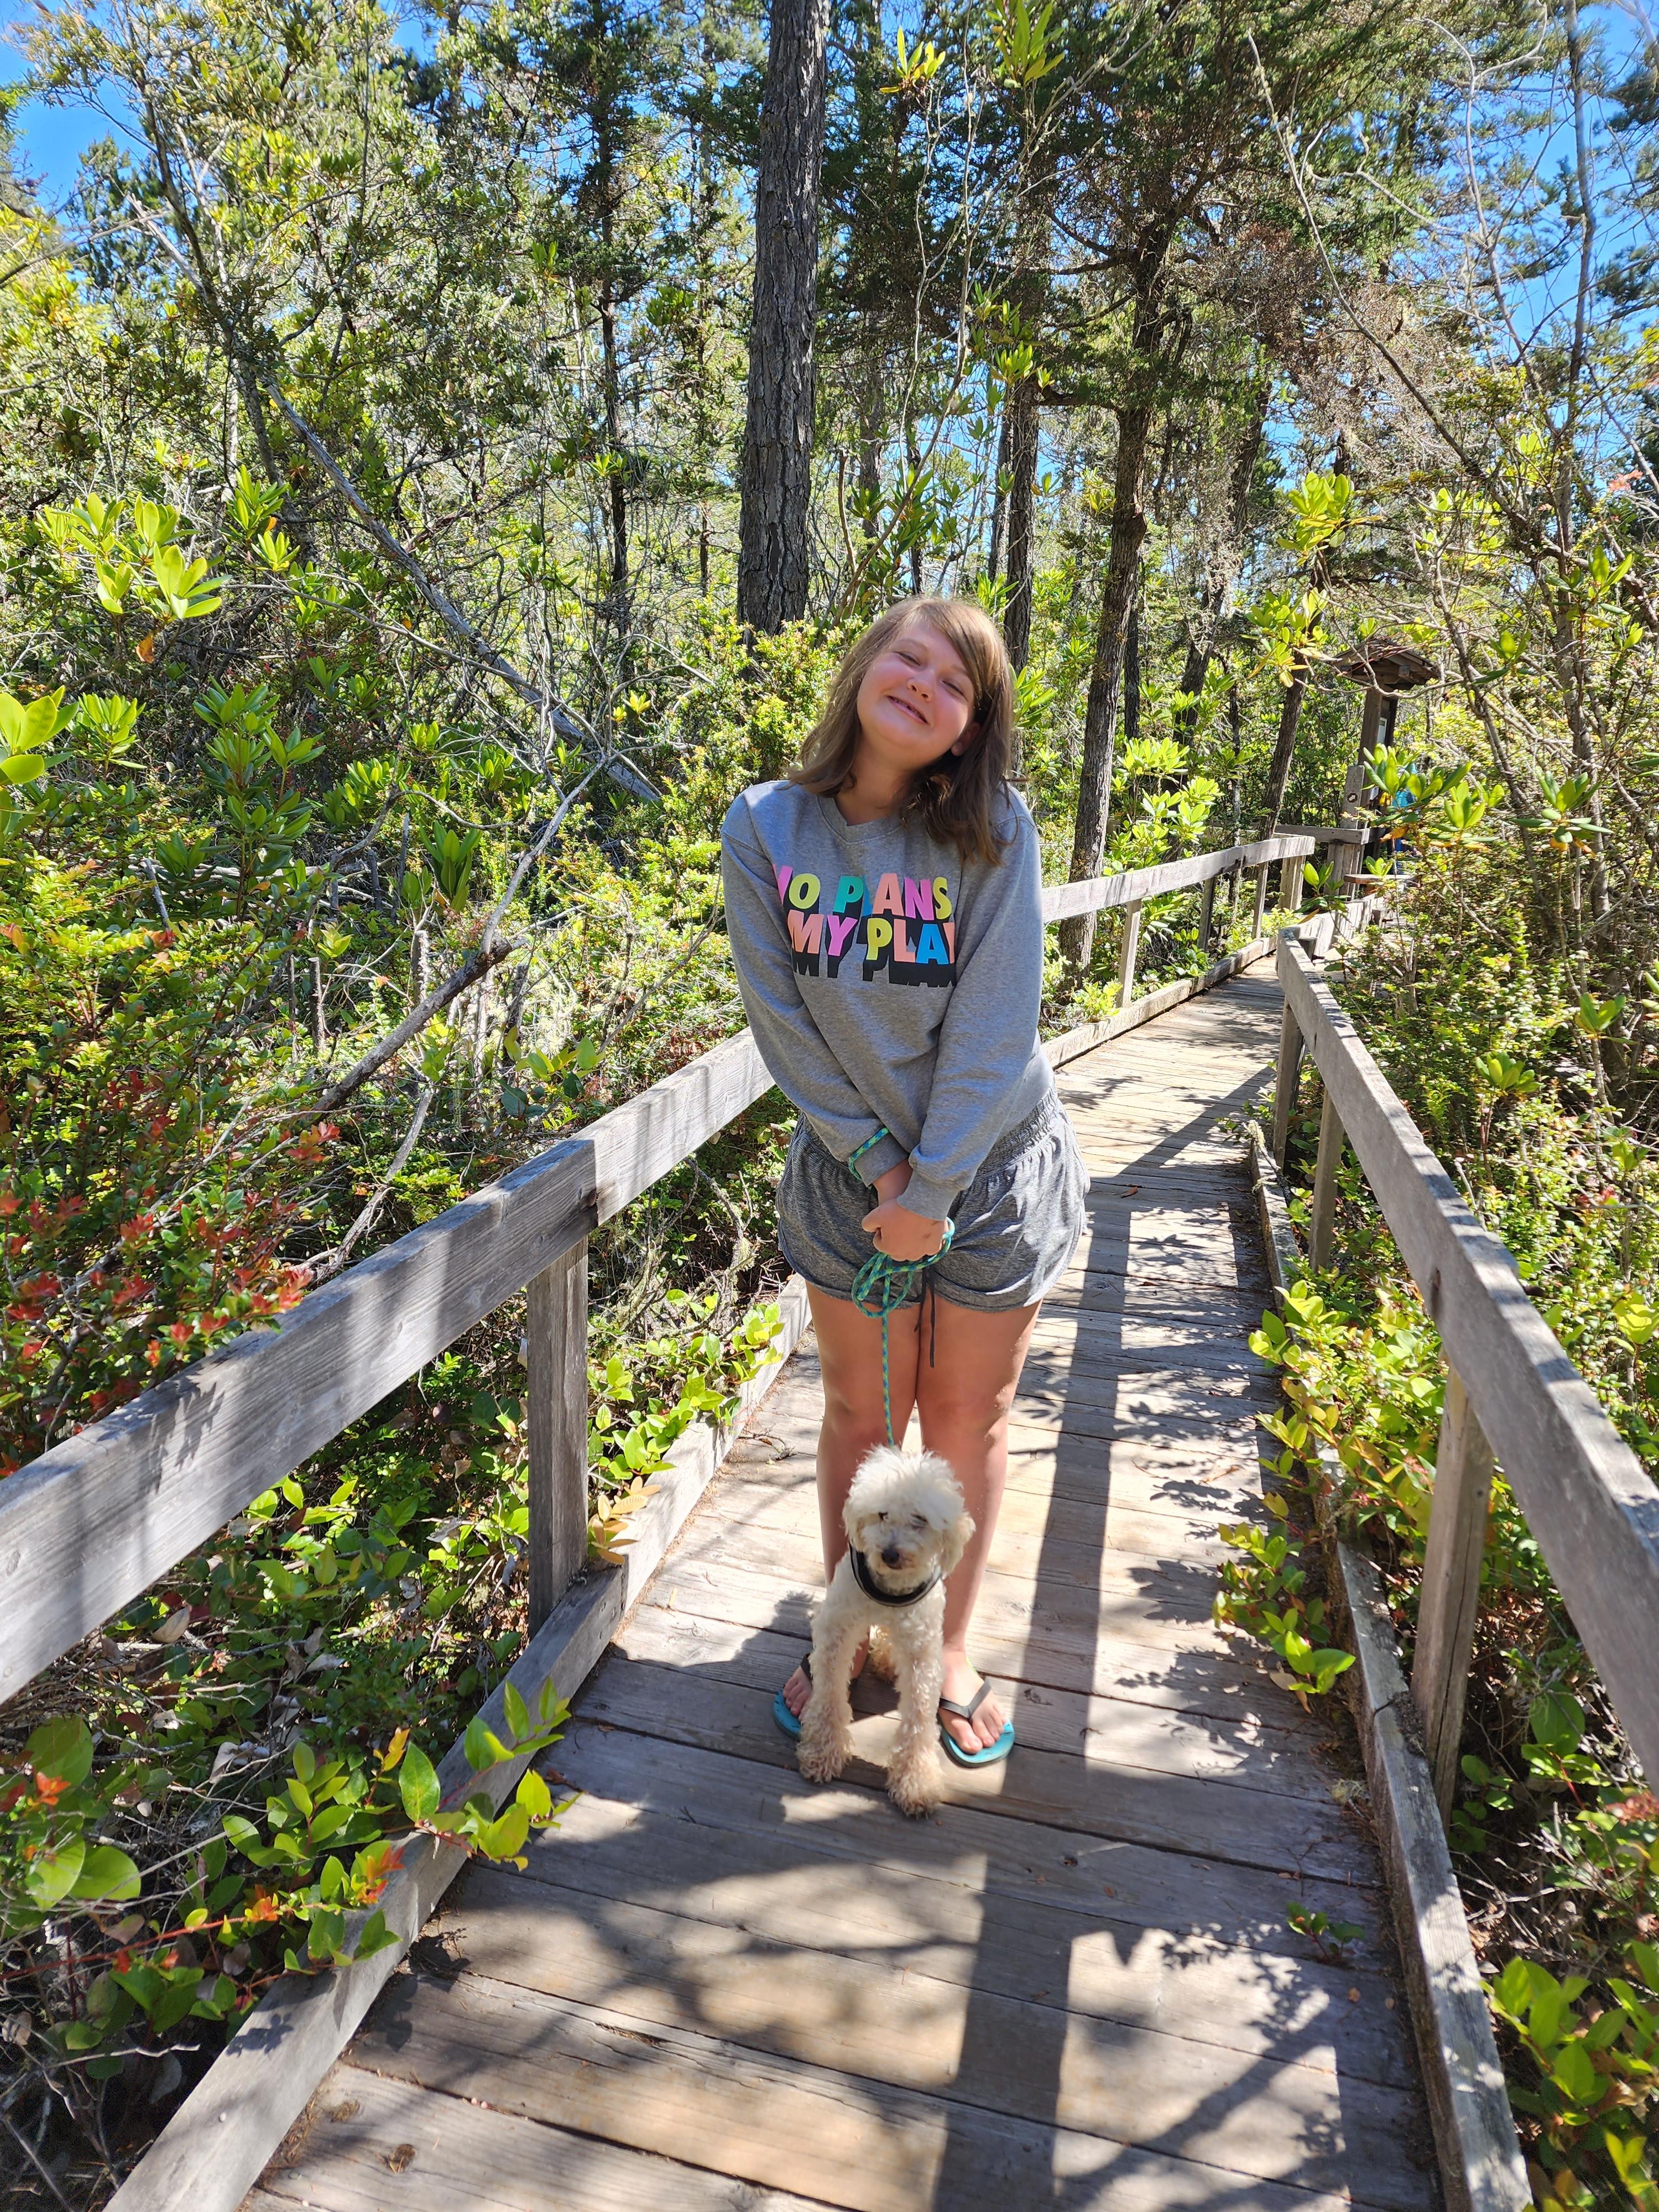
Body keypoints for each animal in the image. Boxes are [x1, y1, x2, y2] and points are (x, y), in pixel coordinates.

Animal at [796, 1445, 975, 1816]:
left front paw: (916, 1781)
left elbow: (919, 1716)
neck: (889, 1590)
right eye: (882, 1514)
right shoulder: (837, 1629)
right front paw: (822, 1752)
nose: (890, 1553)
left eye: (920, 1520)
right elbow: (829, 1694)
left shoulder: (923, 1651)